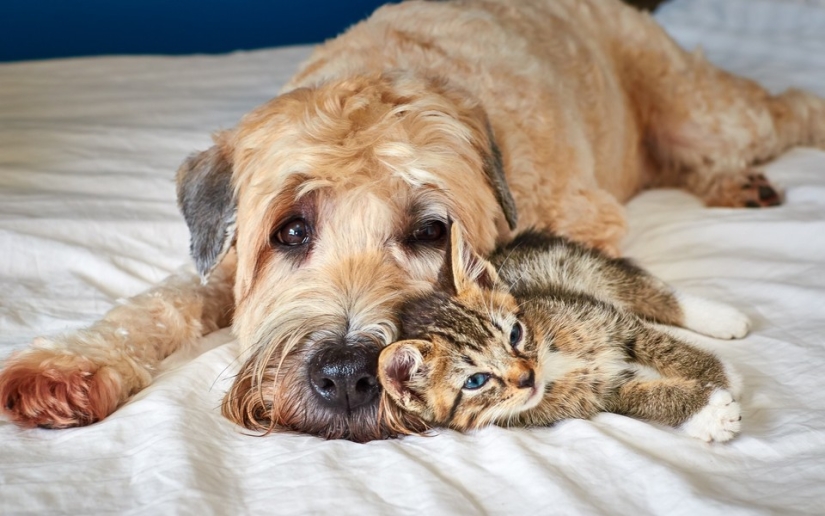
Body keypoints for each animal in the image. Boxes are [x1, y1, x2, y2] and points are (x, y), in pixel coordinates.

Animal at [380, 224, 748, 442]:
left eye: (514, 334)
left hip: (584, 270)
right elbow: (644, 397)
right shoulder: (600, 395)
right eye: (475, 381)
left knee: (652, 293)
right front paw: (711, 412)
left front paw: (720, 374)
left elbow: (662, 345)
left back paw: (722, 317)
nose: (527, 377)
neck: (551, 357)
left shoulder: (608, 318)